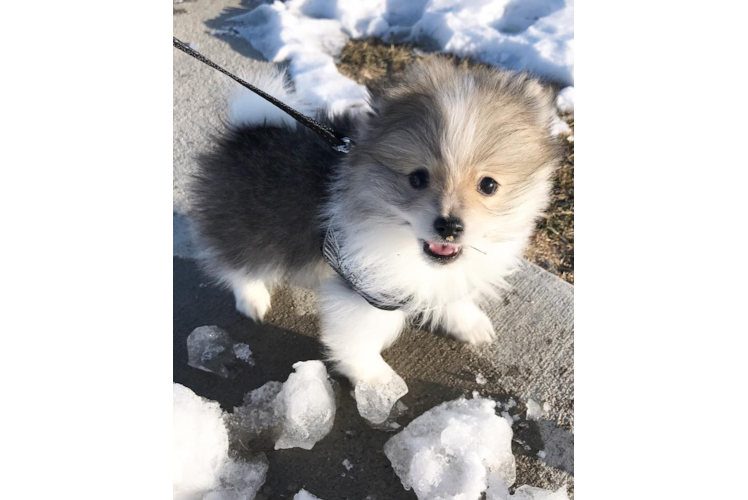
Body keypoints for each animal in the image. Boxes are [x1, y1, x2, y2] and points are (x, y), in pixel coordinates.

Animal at [190, 57, 564, 386]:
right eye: (417, 178)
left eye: (488, 185)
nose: (449, 226)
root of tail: (250, 131)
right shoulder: (365, 289)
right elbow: (358, 338)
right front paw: (376, 380)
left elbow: (451, 293)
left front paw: (468, 322)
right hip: (249, 223)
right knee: (237, 259)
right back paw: (252, 298)